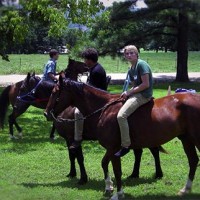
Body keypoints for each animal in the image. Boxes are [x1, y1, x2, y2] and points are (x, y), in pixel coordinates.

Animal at [44, 78, 199, 198]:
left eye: (54, 92)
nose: (46, 113)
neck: (104, 109)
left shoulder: (113, 148)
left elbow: (115, 170)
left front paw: (117, 193)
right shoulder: (111, 149)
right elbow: (105, 164)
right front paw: (109, 187)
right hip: (186, 139)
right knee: (193, 161)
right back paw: (185, 189)